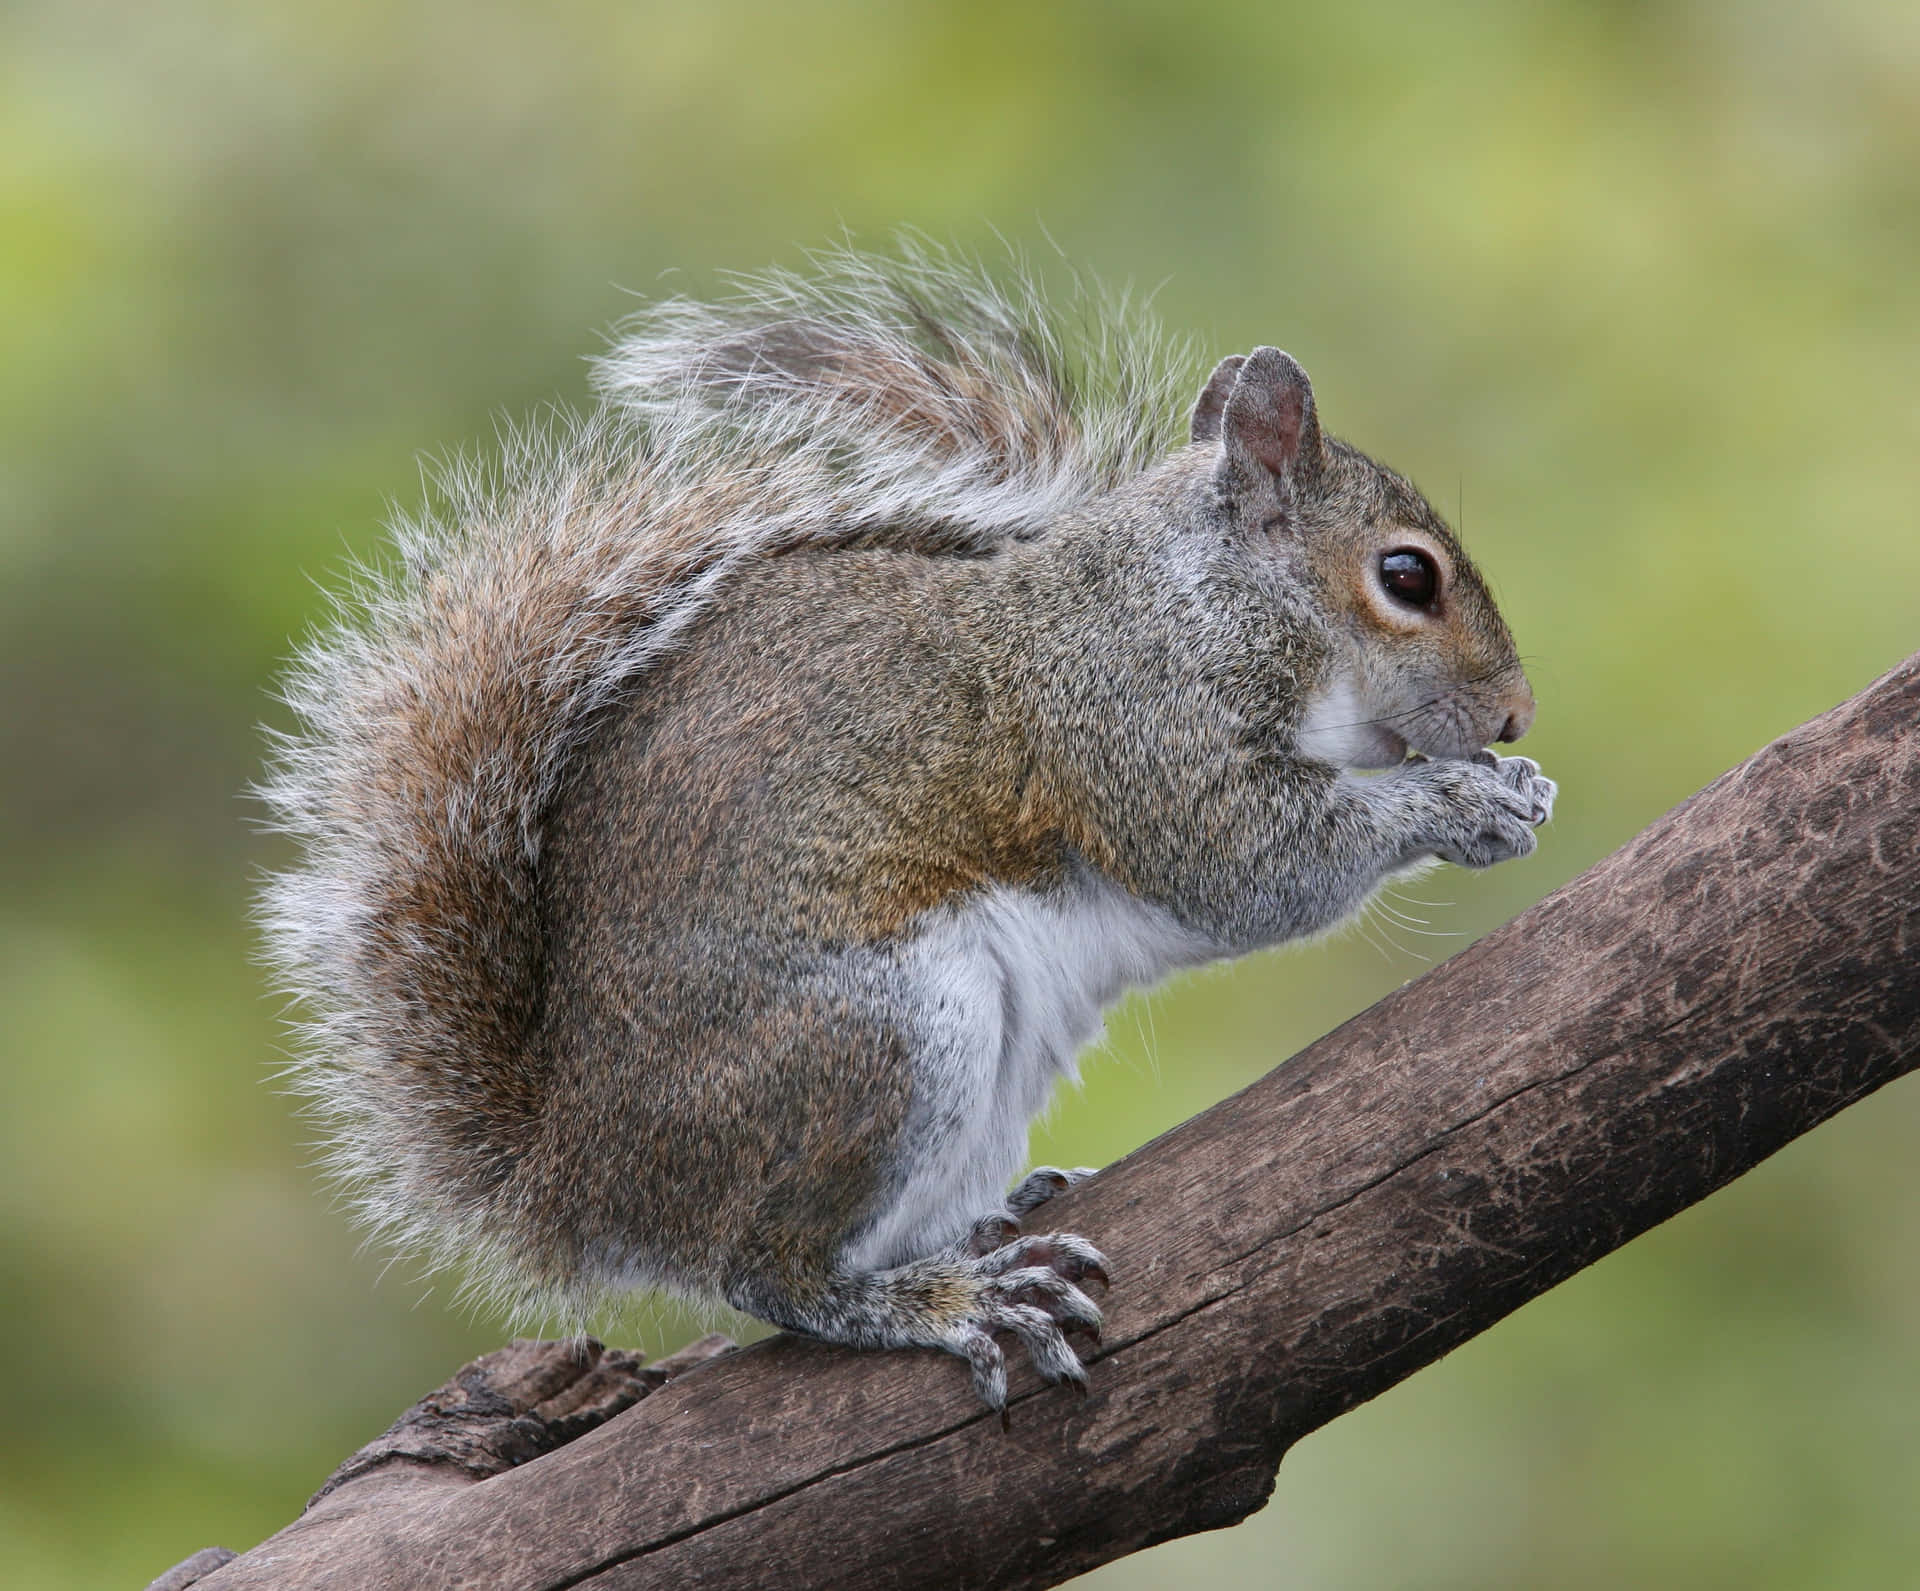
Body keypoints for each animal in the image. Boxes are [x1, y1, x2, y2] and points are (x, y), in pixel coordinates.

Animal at [259, 241, 1559, 1412]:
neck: (1206, 597)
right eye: (1407, 576)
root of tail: (576, 1179)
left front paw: (1516, 784)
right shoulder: (1136, 727)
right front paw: (1464, 800)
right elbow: (1250, 864)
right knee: (770, 1272)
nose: (1516, 712)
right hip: (882, 1037)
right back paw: (944, 1299)